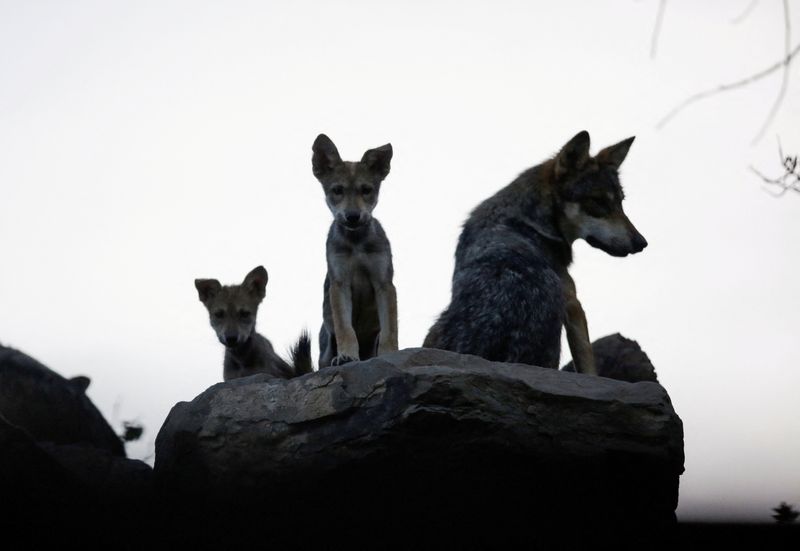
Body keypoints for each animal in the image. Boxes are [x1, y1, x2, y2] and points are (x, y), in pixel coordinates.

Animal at [312, 133, 398, 368]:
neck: (356, 243)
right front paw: (346, 356)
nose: (352, 216)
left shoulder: (384, 283)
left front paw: (389, 355)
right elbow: (346, 329)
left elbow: (390, 331)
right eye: (337, 190)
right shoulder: (339, 284)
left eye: (366, 190)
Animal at [423, 131, 647, 374]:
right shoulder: (573, 303)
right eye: (597, 202)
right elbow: (589, 366)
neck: (530, 221)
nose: (641, 242)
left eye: (621, 202)